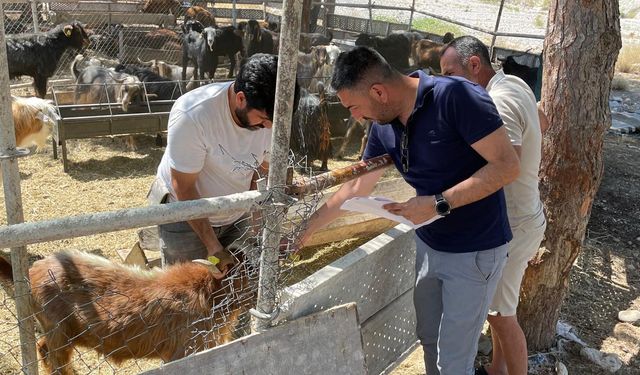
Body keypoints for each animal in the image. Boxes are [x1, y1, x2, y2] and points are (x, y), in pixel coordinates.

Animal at [0, 250, 254, 375]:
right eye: (245, 271)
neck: (207, 294)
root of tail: (30, 272)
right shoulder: (184, 351)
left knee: (44, 349)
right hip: (58, 332)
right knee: (53, 358)